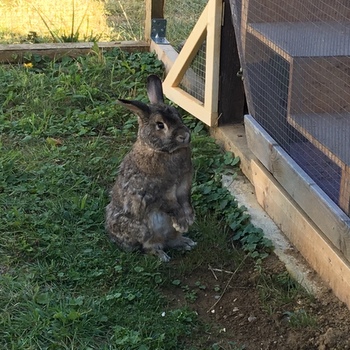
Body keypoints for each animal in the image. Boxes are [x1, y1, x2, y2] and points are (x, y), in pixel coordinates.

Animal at [105, 74, 196, 262]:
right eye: (160, 125)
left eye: (178, 115)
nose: (185, 136)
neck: (163, 151)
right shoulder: (159, 192)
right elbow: (172, 206)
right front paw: (182, 222)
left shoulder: (185, 184)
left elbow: (186, 200)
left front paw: (190, 218)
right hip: (144, 229)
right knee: (148, 247)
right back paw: (162, 255)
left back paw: (185, 242)